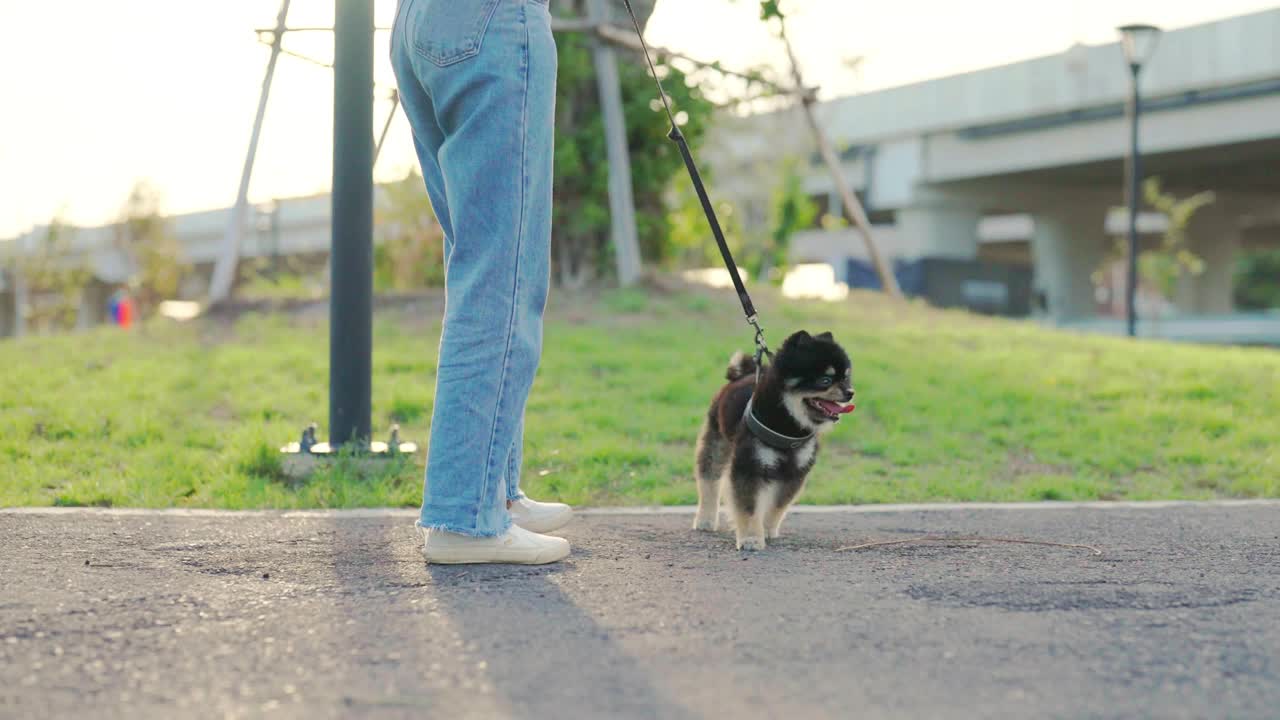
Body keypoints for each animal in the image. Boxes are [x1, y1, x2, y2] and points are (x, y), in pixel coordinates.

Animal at [696, 330, 855, 548]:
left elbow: (777, 506)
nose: (850, 392)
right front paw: (751, 538)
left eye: (846, 378)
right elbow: (749, 508)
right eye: (825, 380)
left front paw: (767, 530)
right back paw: (705, 519)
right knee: (709, 480)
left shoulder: (794, 472)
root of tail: (743, 374)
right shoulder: (750, 465)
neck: (789, 426)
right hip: (718, 441)